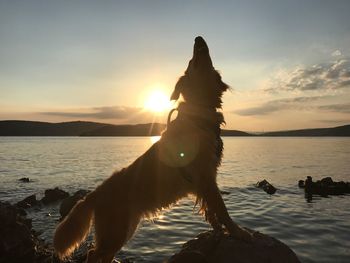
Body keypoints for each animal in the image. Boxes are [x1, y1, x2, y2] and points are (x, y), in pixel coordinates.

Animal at [53, 36, 252, 262]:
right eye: (192, 61)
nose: (198, 38)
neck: (197, 117)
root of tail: (94, 194)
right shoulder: (206, 177)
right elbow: (222, 210)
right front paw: (238, 232)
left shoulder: (203, 182)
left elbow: (211, 212)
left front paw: (217, 231)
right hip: (117, 230)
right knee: (94, 254)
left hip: (124, 228)